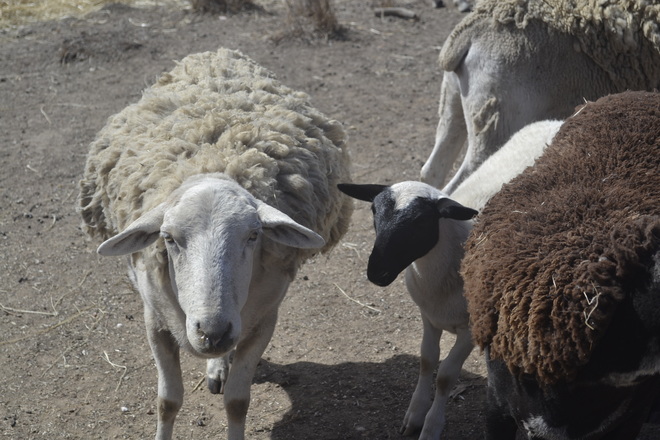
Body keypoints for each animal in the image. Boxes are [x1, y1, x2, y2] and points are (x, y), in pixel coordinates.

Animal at [78, 48, 352, 440]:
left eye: (254, 235)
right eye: (168, 238)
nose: (212, 331)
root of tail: (218, 54)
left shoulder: (264, 318)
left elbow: (238, 402)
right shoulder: (154, 319)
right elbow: (167, 402)